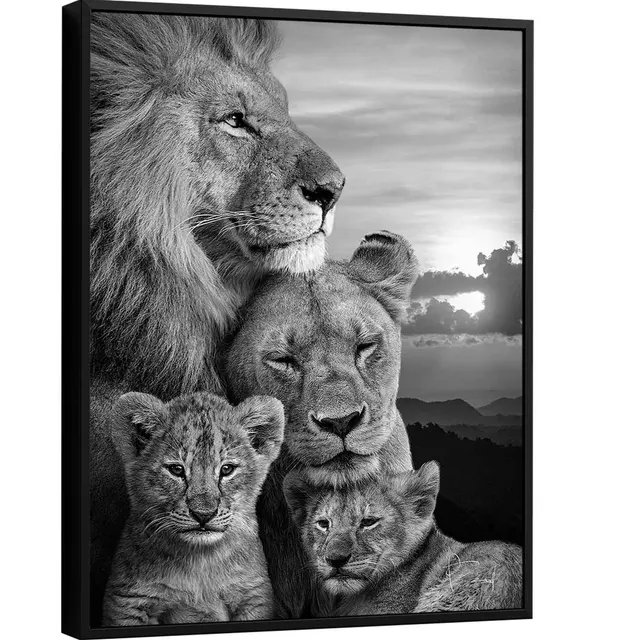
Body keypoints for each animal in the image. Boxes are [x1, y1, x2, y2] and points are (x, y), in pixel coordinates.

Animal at [103, 391, 285, 626]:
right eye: (176, 470)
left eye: (227, 469)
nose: (203, 514)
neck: (199, 560)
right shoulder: (129, 601)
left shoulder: (253, 596)